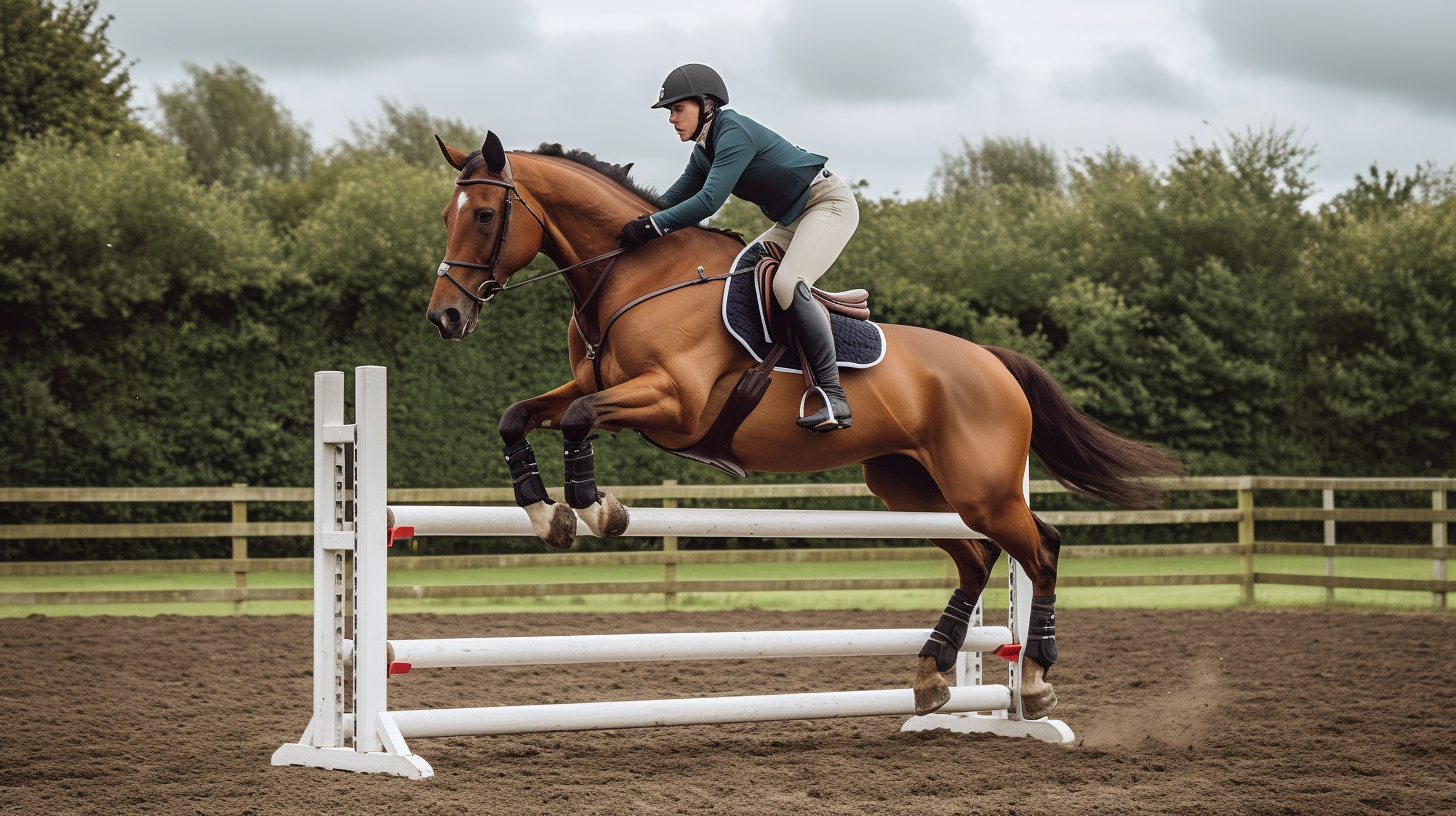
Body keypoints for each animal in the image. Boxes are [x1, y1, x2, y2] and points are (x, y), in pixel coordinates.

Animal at [425, 130, 1182, 716]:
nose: (444, 318)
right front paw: (544, 515)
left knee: (1041, 549)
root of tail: (995, 361)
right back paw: (933, 673)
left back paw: (1035, 678)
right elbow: (518, 418)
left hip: (984, 491)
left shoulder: (674, 404)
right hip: (910, 487)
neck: (631, 277)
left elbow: (579, 422)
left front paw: (595, 508)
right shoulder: (597, 391)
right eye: (447, 214)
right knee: (977, 559)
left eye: (486, 215)